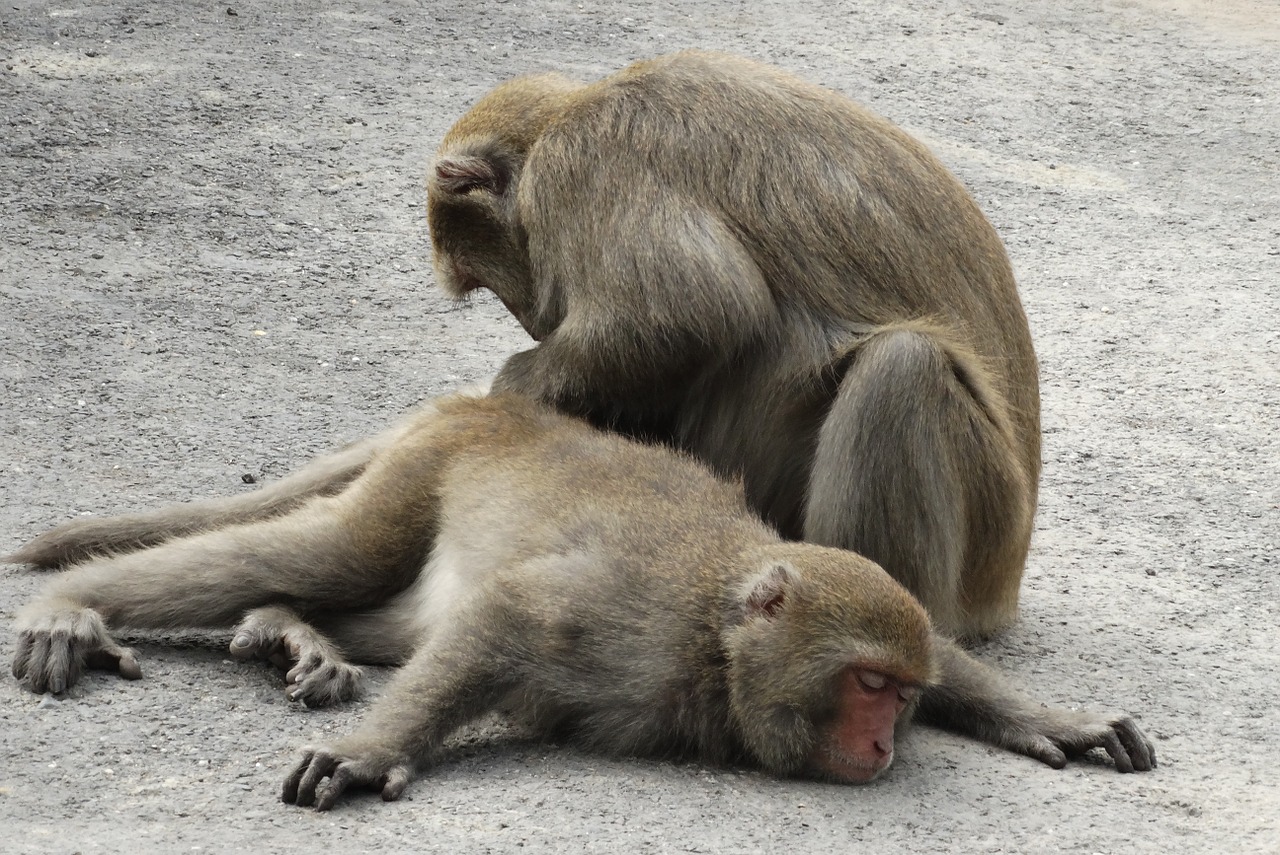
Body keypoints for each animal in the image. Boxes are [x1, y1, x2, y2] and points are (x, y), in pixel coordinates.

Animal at [7, 394, 1152, 808]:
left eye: (905, 694)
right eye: (867, 685)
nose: (880, 744)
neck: (713, 647)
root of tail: (489, 404)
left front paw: (1056, 720)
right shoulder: (629, 624)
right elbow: (509, 619)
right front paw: (375, 753)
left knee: (382, 610)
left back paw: (291, 632)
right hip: (421, 477)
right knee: (331, 550)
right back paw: (72, 606)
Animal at [427, 50, 1039, 639]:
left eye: (478, 276)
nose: (536, 322)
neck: (567, 114)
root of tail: (1006, 588)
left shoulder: (583, 166)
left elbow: (695, 312)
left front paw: (512, 385)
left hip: (987, 530)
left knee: (903, 366)